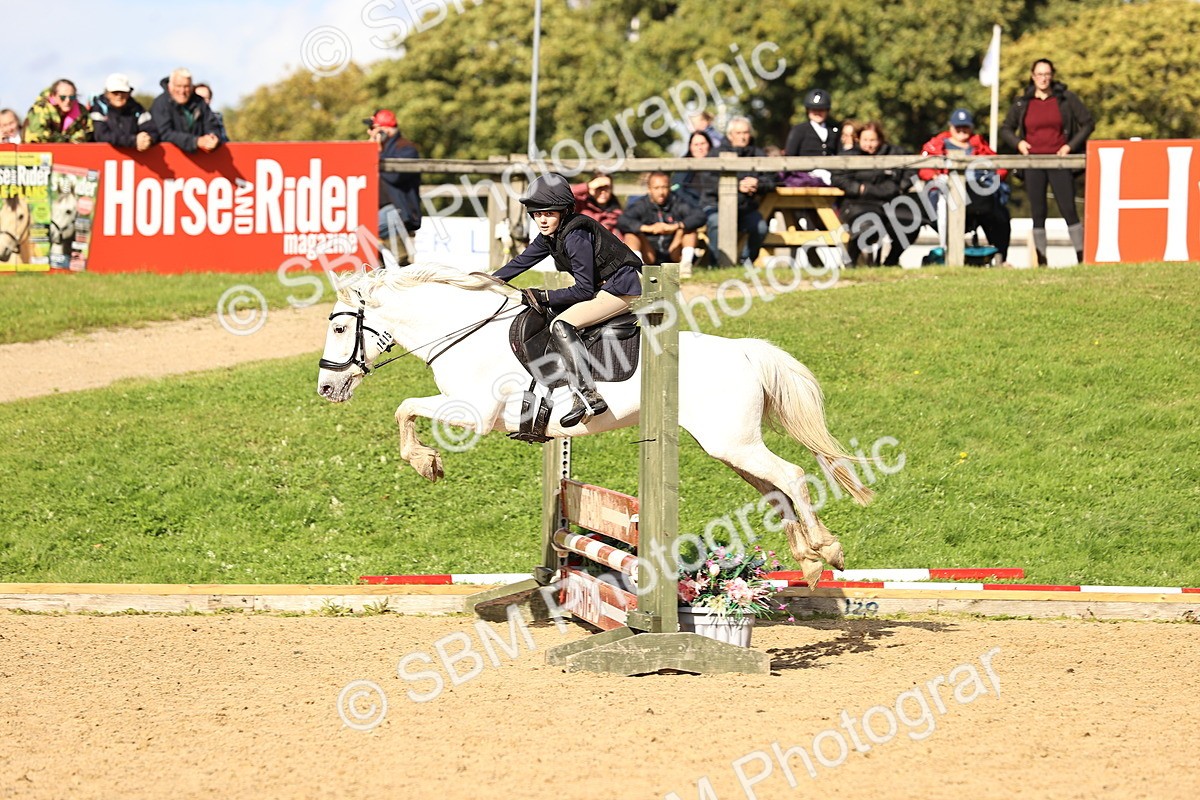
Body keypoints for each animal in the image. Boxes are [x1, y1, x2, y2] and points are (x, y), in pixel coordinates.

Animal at [316, 263, 872, 585]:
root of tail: (744, 351)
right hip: (730, 447)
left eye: (341, 328)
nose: (325, 389)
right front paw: (425, 462)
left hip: (733, 444)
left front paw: (425, 463)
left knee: (792, 477)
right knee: (776, 488)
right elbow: (405, 408)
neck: (465, 332)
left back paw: (826, 549)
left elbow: (405, 406)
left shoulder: (471, 411)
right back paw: (810, 559)